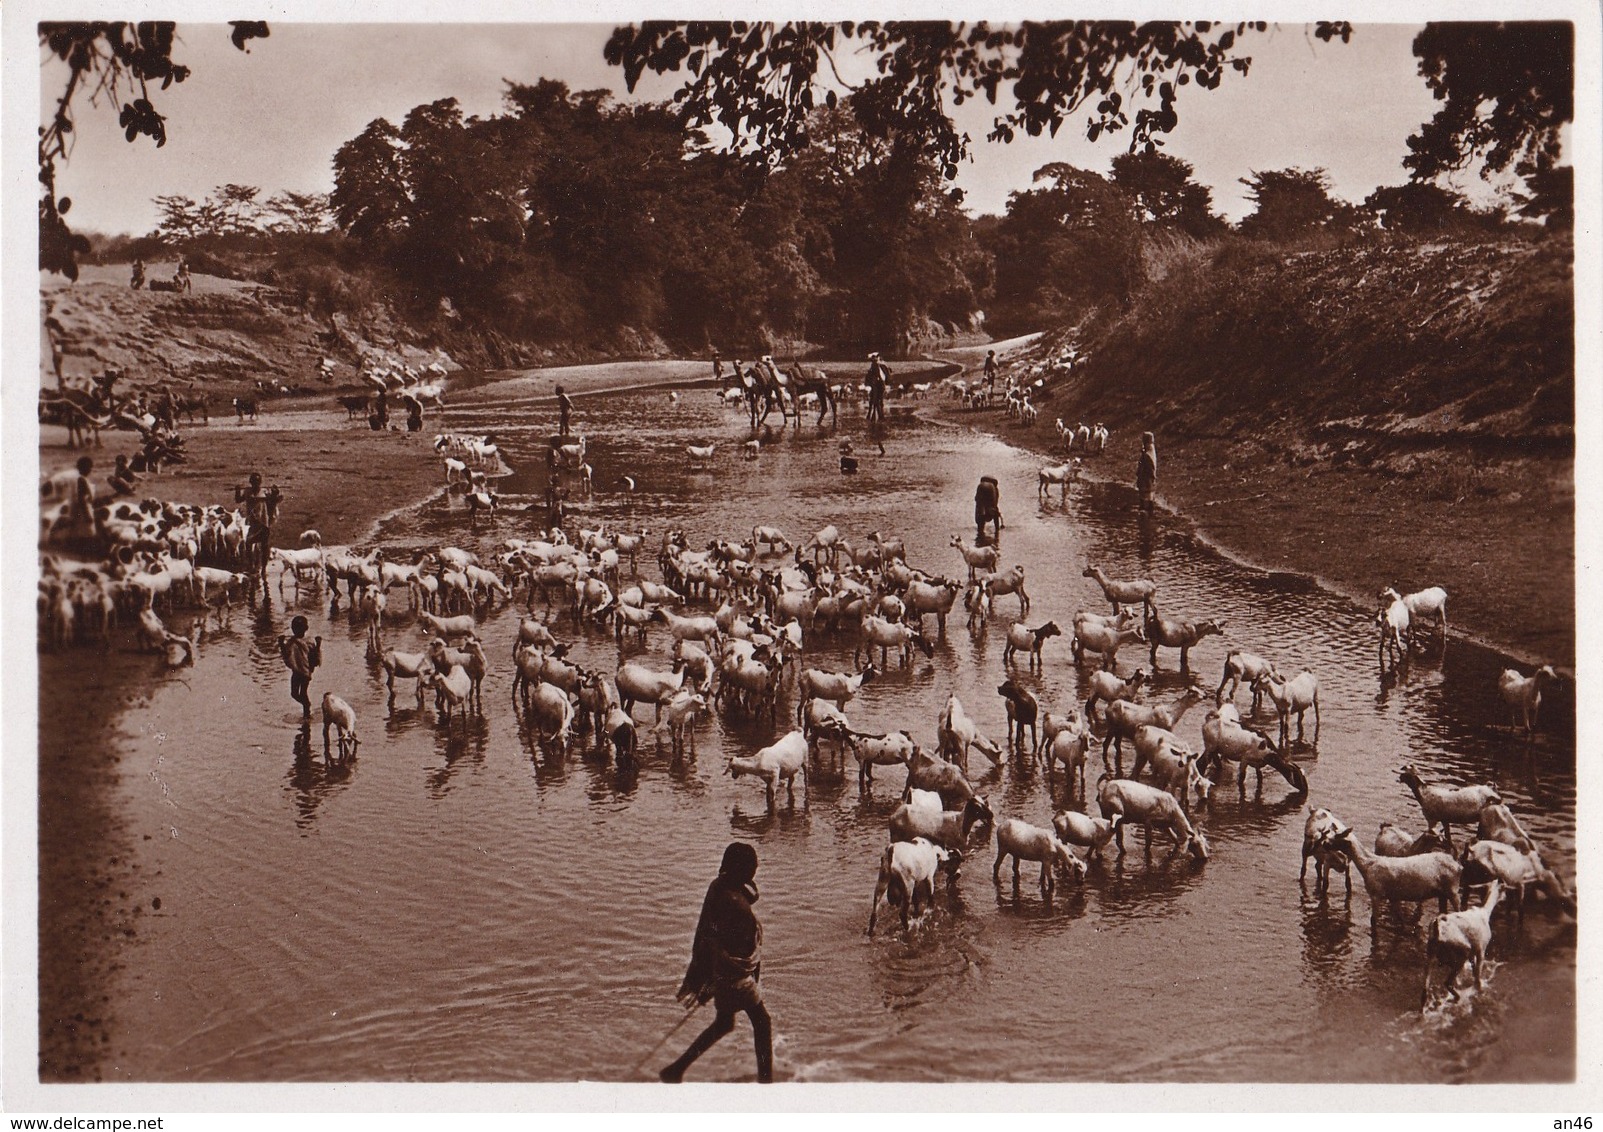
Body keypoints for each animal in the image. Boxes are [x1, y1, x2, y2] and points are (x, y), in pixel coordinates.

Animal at [1320, 820, 1461, 936]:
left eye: (1337, 836)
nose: (1324, 843)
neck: (1367, 864)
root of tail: (1458, 865)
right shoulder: (1393, 897)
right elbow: (1401, 920)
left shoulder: (1376, 894)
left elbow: (1373, 920)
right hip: (1443, 893)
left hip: (1453, 891)